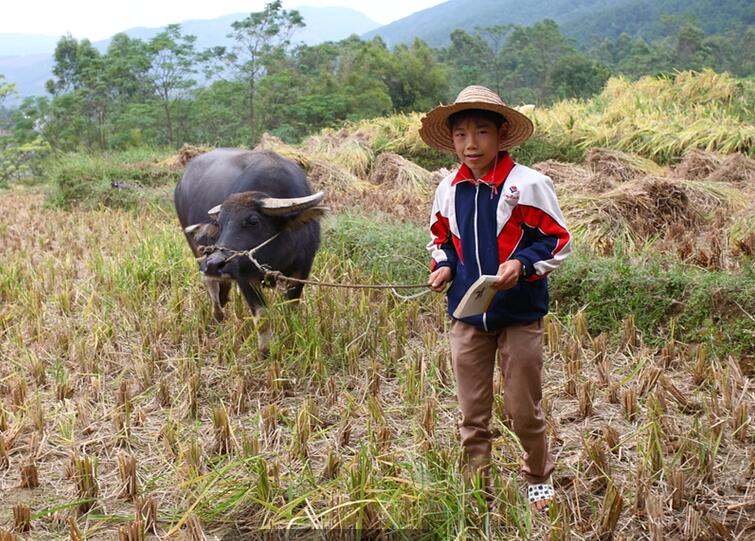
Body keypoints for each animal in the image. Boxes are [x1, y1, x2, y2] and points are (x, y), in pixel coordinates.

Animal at [176, 149, 326, 350]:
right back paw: (218, 316)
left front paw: (290, 341)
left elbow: (291, 311)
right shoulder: (244, 277)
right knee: (209, 282)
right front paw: (265, 352)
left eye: (253, 221)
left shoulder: (301, 271)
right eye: (220, 224)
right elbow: (262, 319)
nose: (214, 264)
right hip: (197, 249)